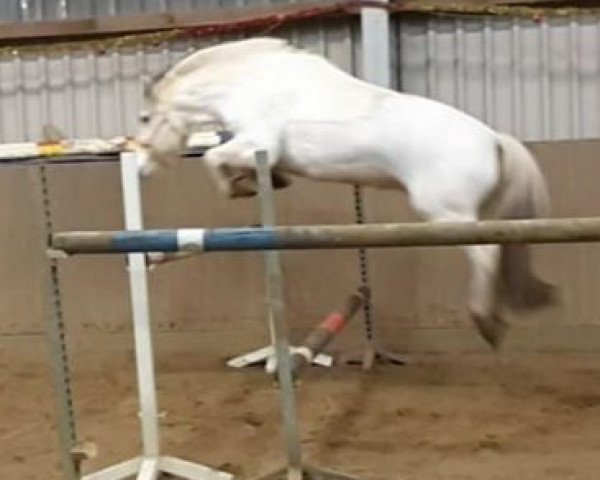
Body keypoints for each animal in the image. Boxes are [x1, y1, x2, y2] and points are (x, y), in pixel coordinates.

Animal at [137, 36, 556, 344]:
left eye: (143, 118)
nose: (140, 169)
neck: (248, 84)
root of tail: (494, 139)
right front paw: (270, 181)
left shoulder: (258, 139)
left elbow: (213, 160)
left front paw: (240, 187)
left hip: (446, 214)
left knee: (486, 253)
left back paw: (486, 322)